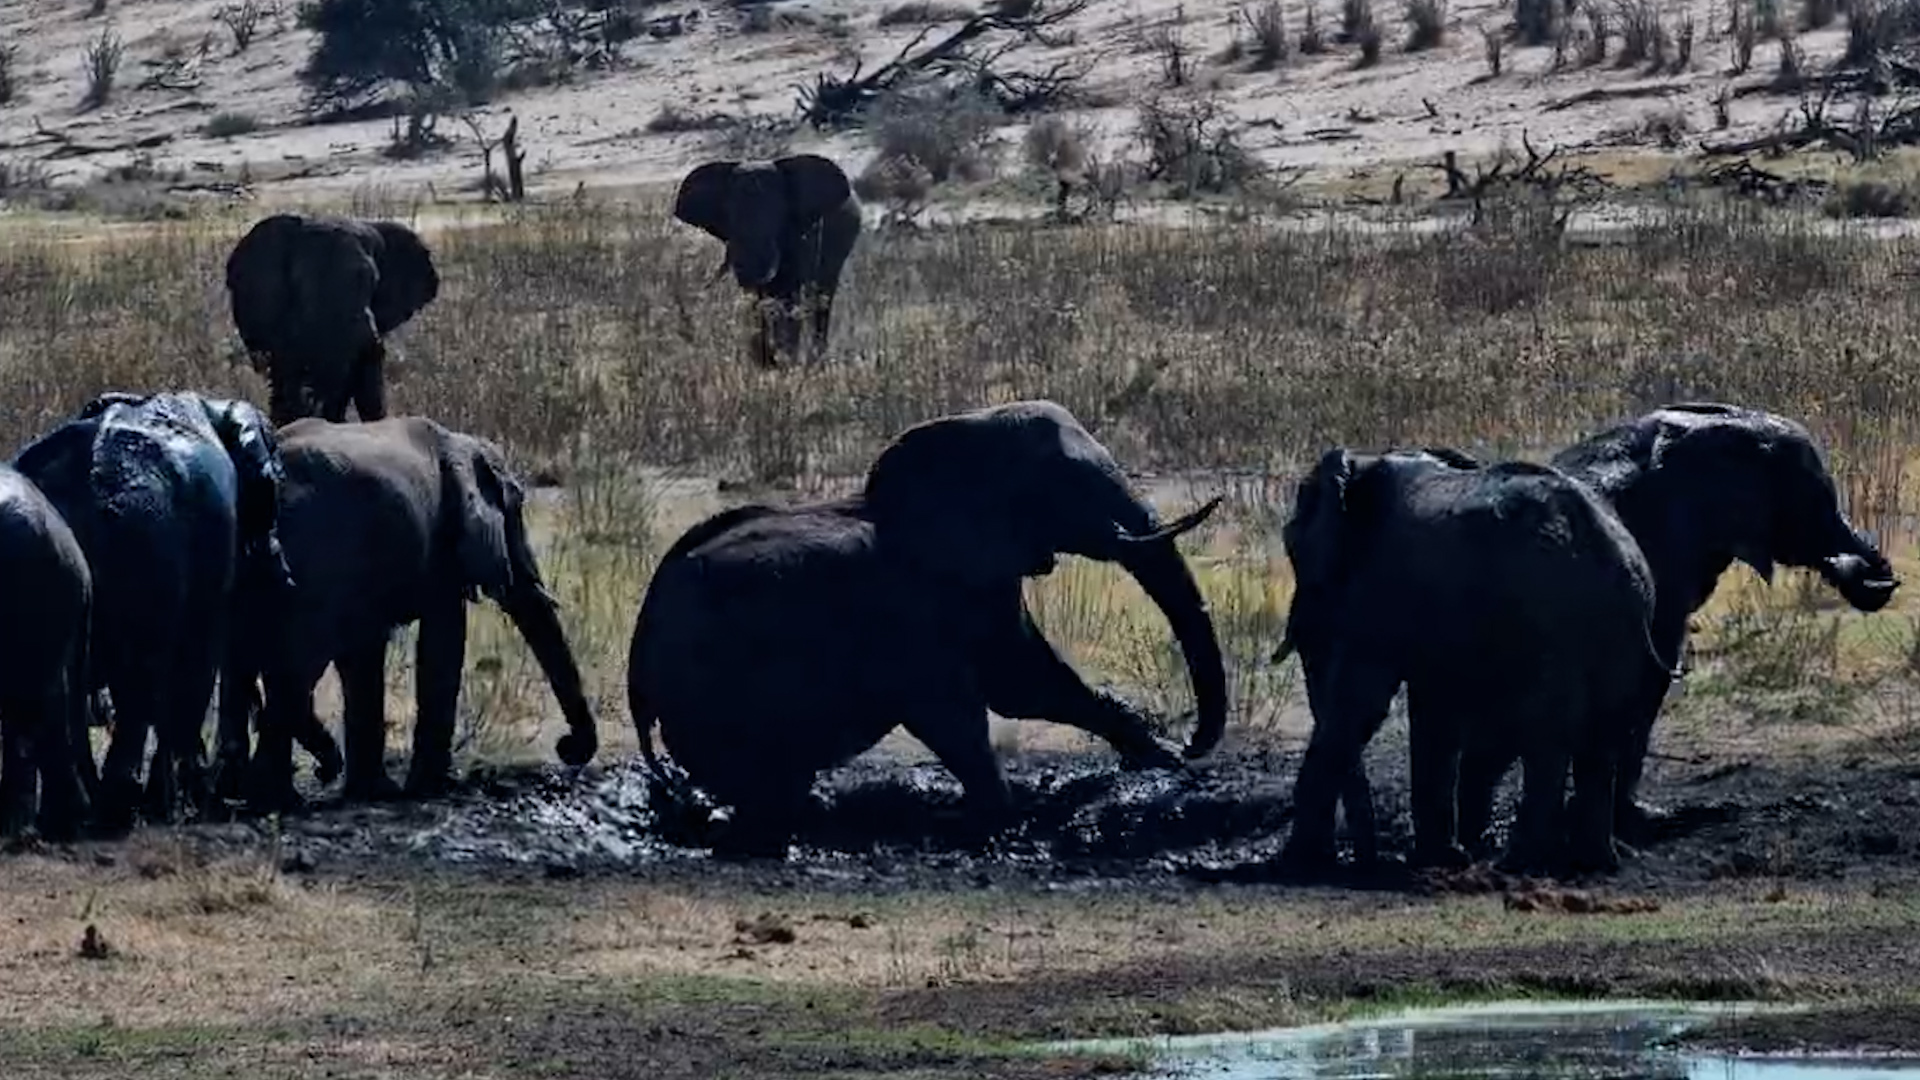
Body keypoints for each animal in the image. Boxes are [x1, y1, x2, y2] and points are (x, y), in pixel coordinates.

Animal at [10, 391, 294, 830]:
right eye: (276, 483)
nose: (286, 576)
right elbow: (198, 661)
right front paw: (181, 802)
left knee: (65, 692)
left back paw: (79, 813)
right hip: (144, 554)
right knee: (140, 677)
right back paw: (121, 807)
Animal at [226, 416, 598, 810]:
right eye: (515, 511)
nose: (566, 748)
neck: (463, 443)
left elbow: (366, 654)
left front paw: (376, 791)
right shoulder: (442, 543)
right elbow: (443, 642)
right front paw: (428, 788)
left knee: (249, 662)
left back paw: (251, 793)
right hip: (310, 555)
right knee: (298, 662)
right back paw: (276, 797)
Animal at [627, 400, 1229, 855]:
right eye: (1072, 485)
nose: (1193, 742)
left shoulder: (985, 578)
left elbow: (1028, 685)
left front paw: (1160, 759)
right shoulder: (907, 601)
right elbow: (956, 706)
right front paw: (1000, 819)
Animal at [672, 153, 863, 368]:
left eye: (779, 212)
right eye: (728, 213)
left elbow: (789, 295)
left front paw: (785, 361)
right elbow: (757, 300)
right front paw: (765, 362)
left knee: (823, 296)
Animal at [1275, 447, 1674, 876]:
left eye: (1293, 546)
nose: (1367, 860)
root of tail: (1609, 546)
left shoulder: (1378, 593)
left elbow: (1362, 703)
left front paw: (1298, 864)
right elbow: (1436, 710)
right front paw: (1438, 859)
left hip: (1551, 616)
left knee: (1548, 729)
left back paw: (1519, 863)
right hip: (1622, 616)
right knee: (1601, 730)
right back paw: (1593, 862)